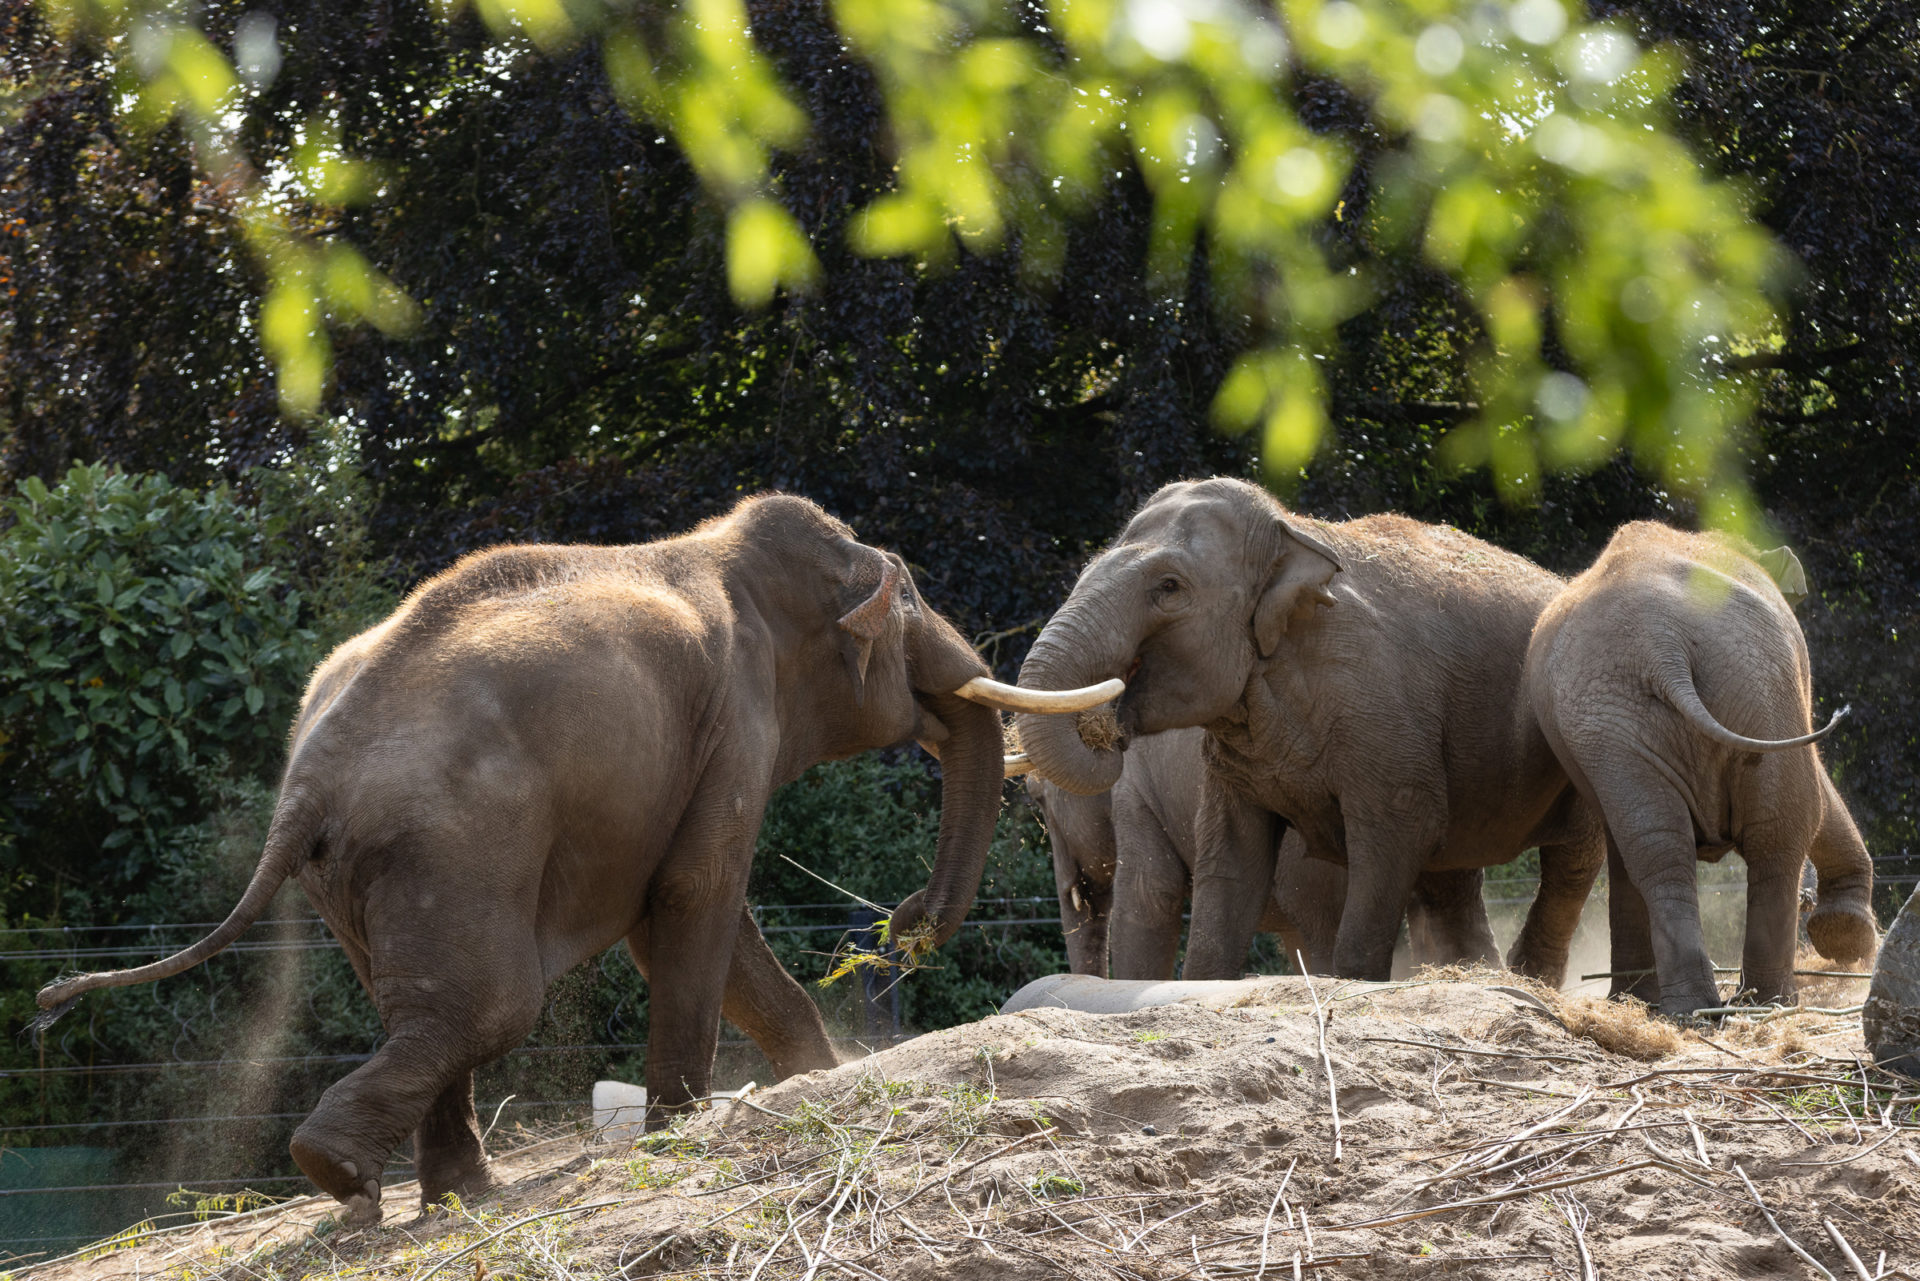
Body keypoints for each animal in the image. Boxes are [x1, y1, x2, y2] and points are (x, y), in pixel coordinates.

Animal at [30, 495, 1113, 1229]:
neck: (729, 549)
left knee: (427, 1007)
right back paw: (350, 1177)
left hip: (361, 874)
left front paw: (822, 1075)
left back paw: (446, 1193)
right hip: (454, 843)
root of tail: (307, 777)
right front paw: (684, 1128)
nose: (906, 920)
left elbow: (685, 919)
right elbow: (698, 893)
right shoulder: (736, 717)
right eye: (912, 603)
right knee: (489, 1005)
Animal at [1528, 518, 1873, 1014]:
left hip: (1618, 717)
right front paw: (1847, 937)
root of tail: (1661, 644)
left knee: (1658, 845)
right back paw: (1767, 1001)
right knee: (1782, 828)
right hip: (1757, 680)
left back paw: (1687, 1007)